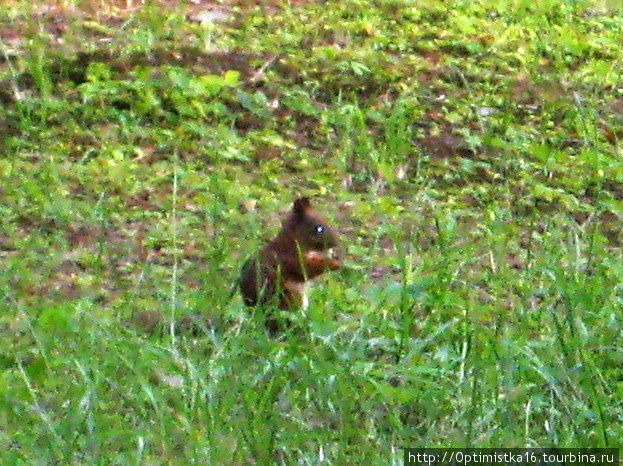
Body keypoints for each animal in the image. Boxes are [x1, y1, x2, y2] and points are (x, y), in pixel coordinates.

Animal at [241, 198, 344, 330]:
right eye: (319, 229)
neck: (292, 241)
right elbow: (305, 270)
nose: (336, 244)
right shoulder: (289, 259)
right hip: (288, 299)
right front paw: (334, 263)